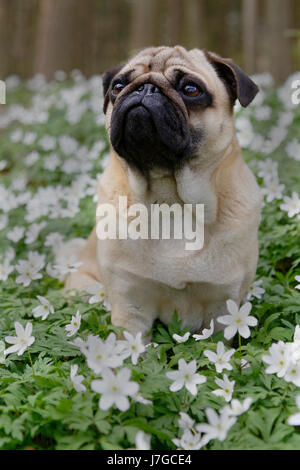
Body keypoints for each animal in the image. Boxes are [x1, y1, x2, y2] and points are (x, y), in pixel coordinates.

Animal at [65, 46, 262, 340]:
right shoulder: (129, 305)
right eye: (118, 87)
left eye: (191, 89)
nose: (145, 88)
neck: (169, 200)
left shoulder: (222, 307)